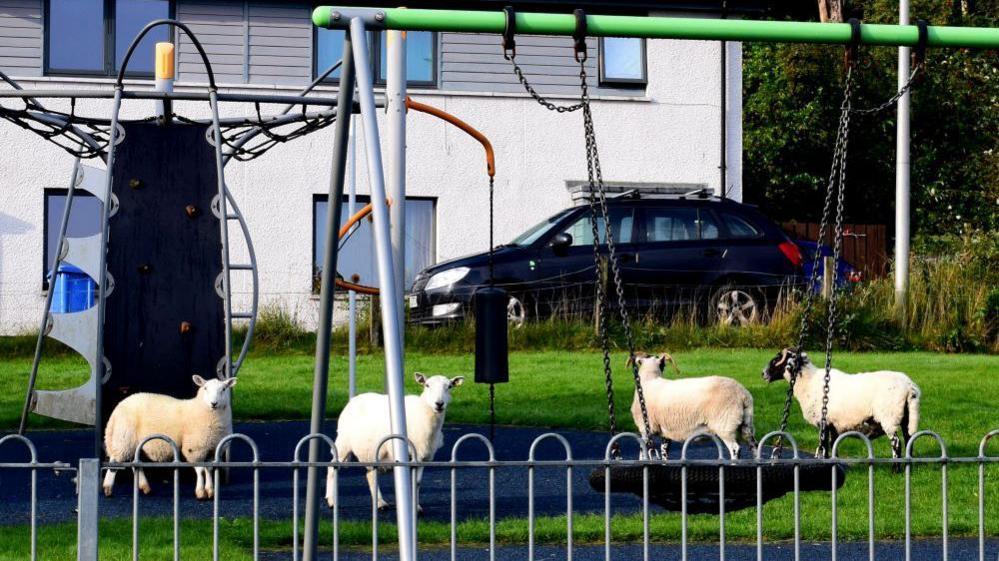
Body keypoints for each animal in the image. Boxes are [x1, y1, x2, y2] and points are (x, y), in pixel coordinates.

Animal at [102, 376, 237, 498]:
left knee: (136, 465)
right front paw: (200, 492)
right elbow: (201, 471)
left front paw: (210, 491)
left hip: (133, 443)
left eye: (223, 389)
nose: (214, 403)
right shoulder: (195, 448)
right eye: (205, 388)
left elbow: (208, 470)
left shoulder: (212, 448)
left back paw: (145, 487)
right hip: (123, 437)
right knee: (115, 461)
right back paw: (108, 488)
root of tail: (119, 406)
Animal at [328, 372, 468, 512]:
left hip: (372, 450)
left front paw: (416, 506)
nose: (439, 404)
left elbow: (417, 483)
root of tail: (355, 399)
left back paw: (380, 503)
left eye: (449, 386)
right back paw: (331, 501)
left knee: (370, 475)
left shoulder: (424, 458)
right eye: (427, 385)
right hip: (343, 442)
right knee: (332, 467)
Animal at [764, 346, 920, 460]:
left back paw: (896, 469)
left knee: (897, 443)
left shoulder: (824, 422)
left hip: (889, 418)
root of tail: (909, 386)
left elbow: (824, 446)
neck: (809, 382)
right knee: (909, 440)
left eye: (777, 359)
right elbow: (833, 445)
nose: (763, 374)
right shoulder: (833, 425)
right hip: (906, 417)